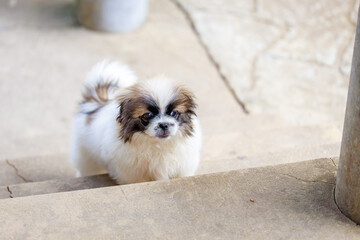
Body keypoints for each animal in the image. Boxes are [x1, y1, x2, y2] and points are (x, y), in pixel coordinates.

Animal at [69, 61, 201, 184]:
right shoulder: (131, 175)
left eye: (174, 113)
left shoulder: (182, 169)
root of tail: (97, 101)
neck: (158, 144)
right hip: (85, 156)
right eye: (147, 115)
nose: (164, 124)